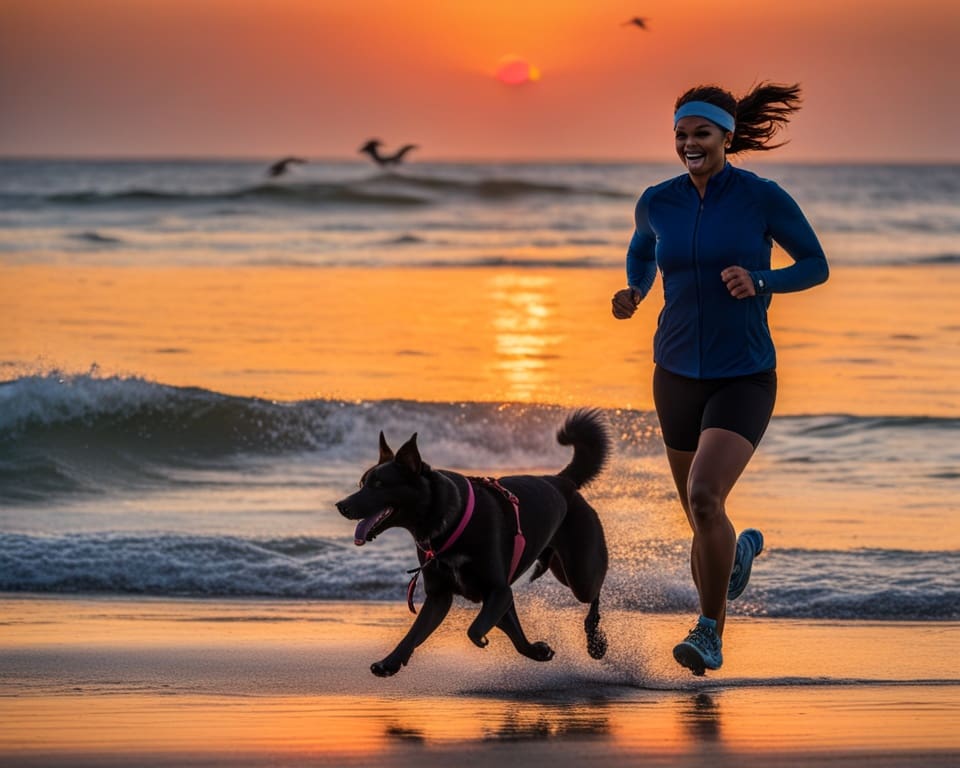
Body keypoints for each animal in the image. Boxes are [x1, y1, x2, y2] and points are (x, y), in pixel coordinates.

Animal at [334, 412, 612, 676]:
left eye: (380, 485)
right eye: (362, 484)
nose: (341, 506)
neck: (447, 521)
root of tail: (562, 481)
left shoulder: (498, 591)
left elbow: (474, 629)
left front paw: (485, 640)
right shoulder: (442, 596)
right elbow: (415, 634)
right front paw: (389, 663)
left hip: (580, 574)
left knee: (595, 591)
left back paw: (595, 642)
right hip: (558, 567)